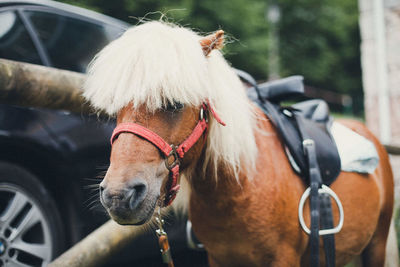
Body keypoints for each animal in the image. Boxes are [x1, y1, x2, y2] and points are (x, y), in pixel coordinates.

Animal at [83, 21, 394, 267]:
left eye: (175, 104)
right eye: (116, 110)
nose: (118, 195)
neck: (240, 187)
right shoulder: (218, 258)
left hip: (377, 244)